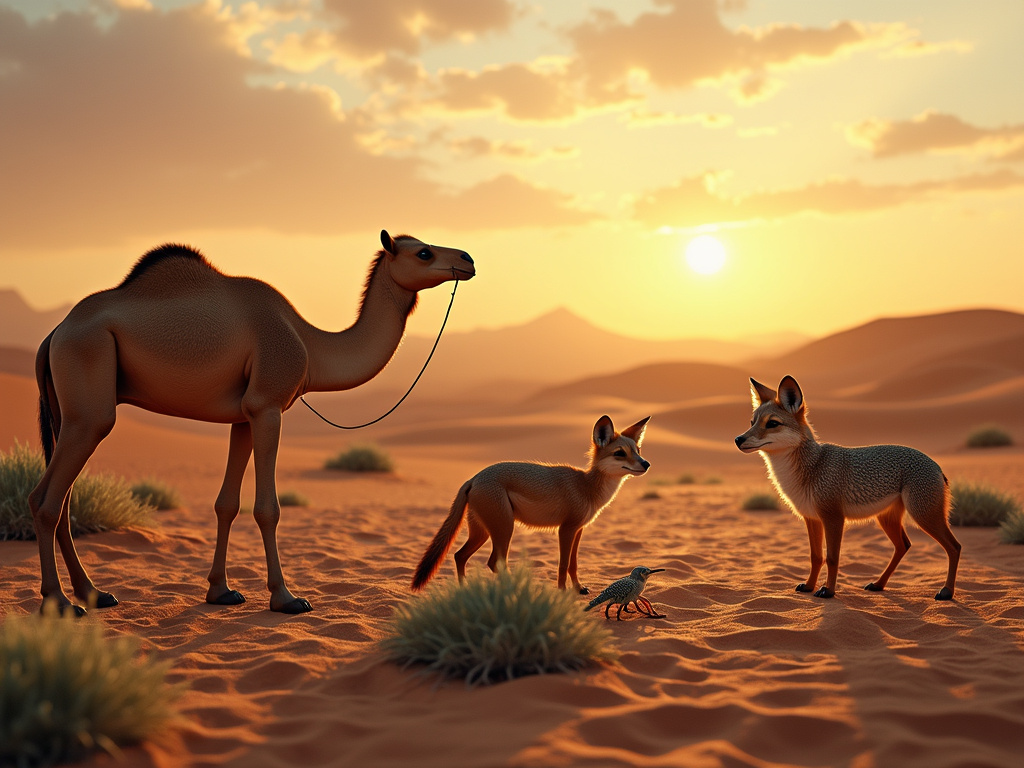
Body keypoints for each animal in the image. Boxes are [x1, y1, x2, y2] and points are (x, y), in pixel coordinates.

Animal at [28, 231, 475, 615]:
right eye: (423, 253)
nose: (468, 259)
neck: (310, 343)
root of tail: (54, 334)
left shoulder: (243, 415)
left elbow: (227, 503)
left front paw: (220, 591)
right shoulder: (267, 407)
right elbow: (267, 508)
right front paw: (286, 598)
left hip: (69, 412)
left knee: (63, 499)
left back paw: (95, 593)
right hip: (90, 395)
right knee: (46, 499)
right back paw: (59, 602)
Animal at [411, 415, 651, 594]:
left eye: (638, 451)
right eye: (620, 453)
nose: (646, 464)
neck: (586, 486)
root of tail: (475, 477)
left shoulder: (579, 530)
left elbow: (573, 564)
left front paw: (579, 588)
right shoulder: (566, 529)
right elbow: (563, 565)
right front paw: (563, 593)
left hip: (482, 533)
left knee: (459, 556)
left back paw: (465, 591)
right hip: (504, 529)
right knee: (493, 562)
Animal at [734, 376, 961, 601]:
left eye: (772, 423)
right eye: (752, 422)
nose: (738, 439)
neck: (813, 466)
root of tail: (936, 466)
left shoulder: (833, 518)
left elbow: (832, 557)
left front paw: (828, 591)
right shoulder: (812, 519)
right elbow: (815, 557)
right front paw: (809, 586)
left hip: (923, 516)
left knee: (954, 547)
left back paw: (947, 591)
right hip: (887, 519)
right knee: (903, 546)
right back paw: (878, 584)